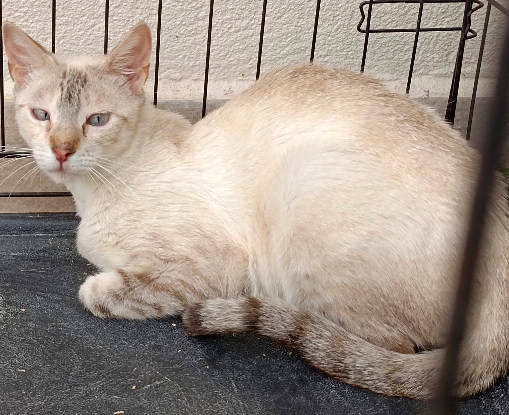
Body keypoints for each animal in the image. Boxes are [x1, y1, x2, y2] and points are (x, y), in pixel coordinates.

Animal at [3, 21, 509, 400]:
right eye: (41, 115)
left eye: (97, 120)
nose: (62, 152)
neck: (90, 196)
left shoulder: (213, 264)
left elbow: (100, 292)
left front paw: (100, 285)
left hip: (304, 181)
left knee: (383, 344)